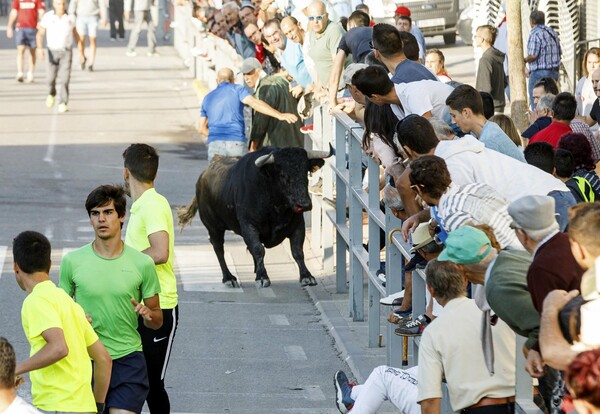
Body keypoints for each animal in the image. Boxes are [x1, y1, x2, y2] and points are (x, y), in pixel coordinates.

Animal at [178, 146, 332, 288]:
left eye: (305, 172)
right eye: (282, 175)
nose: (304, 204)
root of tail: (204, 175)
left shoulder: (298, 225)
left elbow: (297, 251)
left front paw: (307, 276)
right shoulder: (248, 225)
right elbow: (258, 249)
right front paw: (262, 277)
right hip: (213, 227)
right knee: (219, 249)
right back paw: (229, 278)